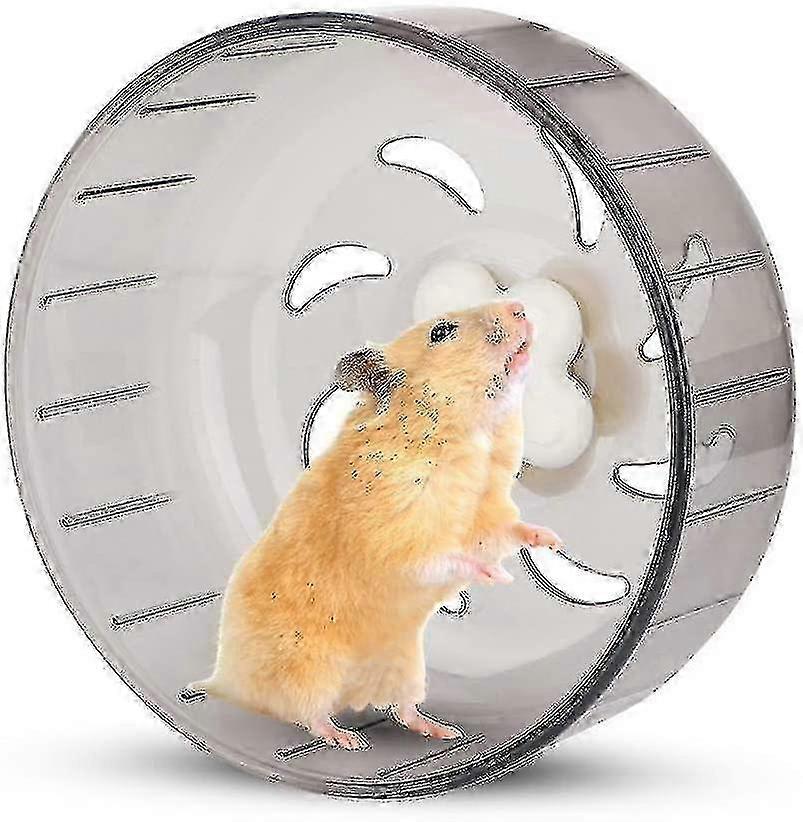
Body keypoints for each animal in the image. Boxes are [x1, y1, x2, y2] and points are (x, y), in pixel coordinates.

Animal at [193, 300, 562, 749]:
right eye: (441, 331)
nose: (519, 307)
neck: (473, 435)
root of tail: (225, 680)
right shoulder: (399, 536)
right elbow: (442, 558)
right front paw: (495, 576)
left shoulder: (488, 514)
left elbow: (509, 532)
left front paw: (551, 541)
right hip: (309, 668)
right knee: (306, 714)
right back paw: (348, 739)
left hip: (404, 664)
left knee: (402, 710)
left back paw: (444, 731)